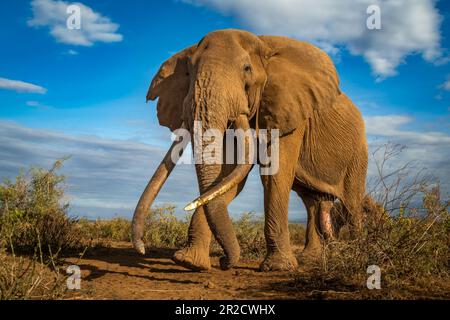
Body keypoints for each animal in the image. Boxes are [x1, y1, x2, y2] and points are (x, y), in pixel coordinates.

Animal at [131, 28, 370, 272]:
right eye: (189, 72)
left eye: (247, 69)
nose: (224, 261)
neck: (263, 44)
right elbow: (228, 175)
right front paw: (189, 262)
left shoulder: (291, 109)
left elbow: (273, 174)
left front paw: (278, 268)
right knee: (312, 202)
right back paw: (309, 259)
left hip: (358, 153)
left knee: (352, 203)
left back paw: (357, 254)